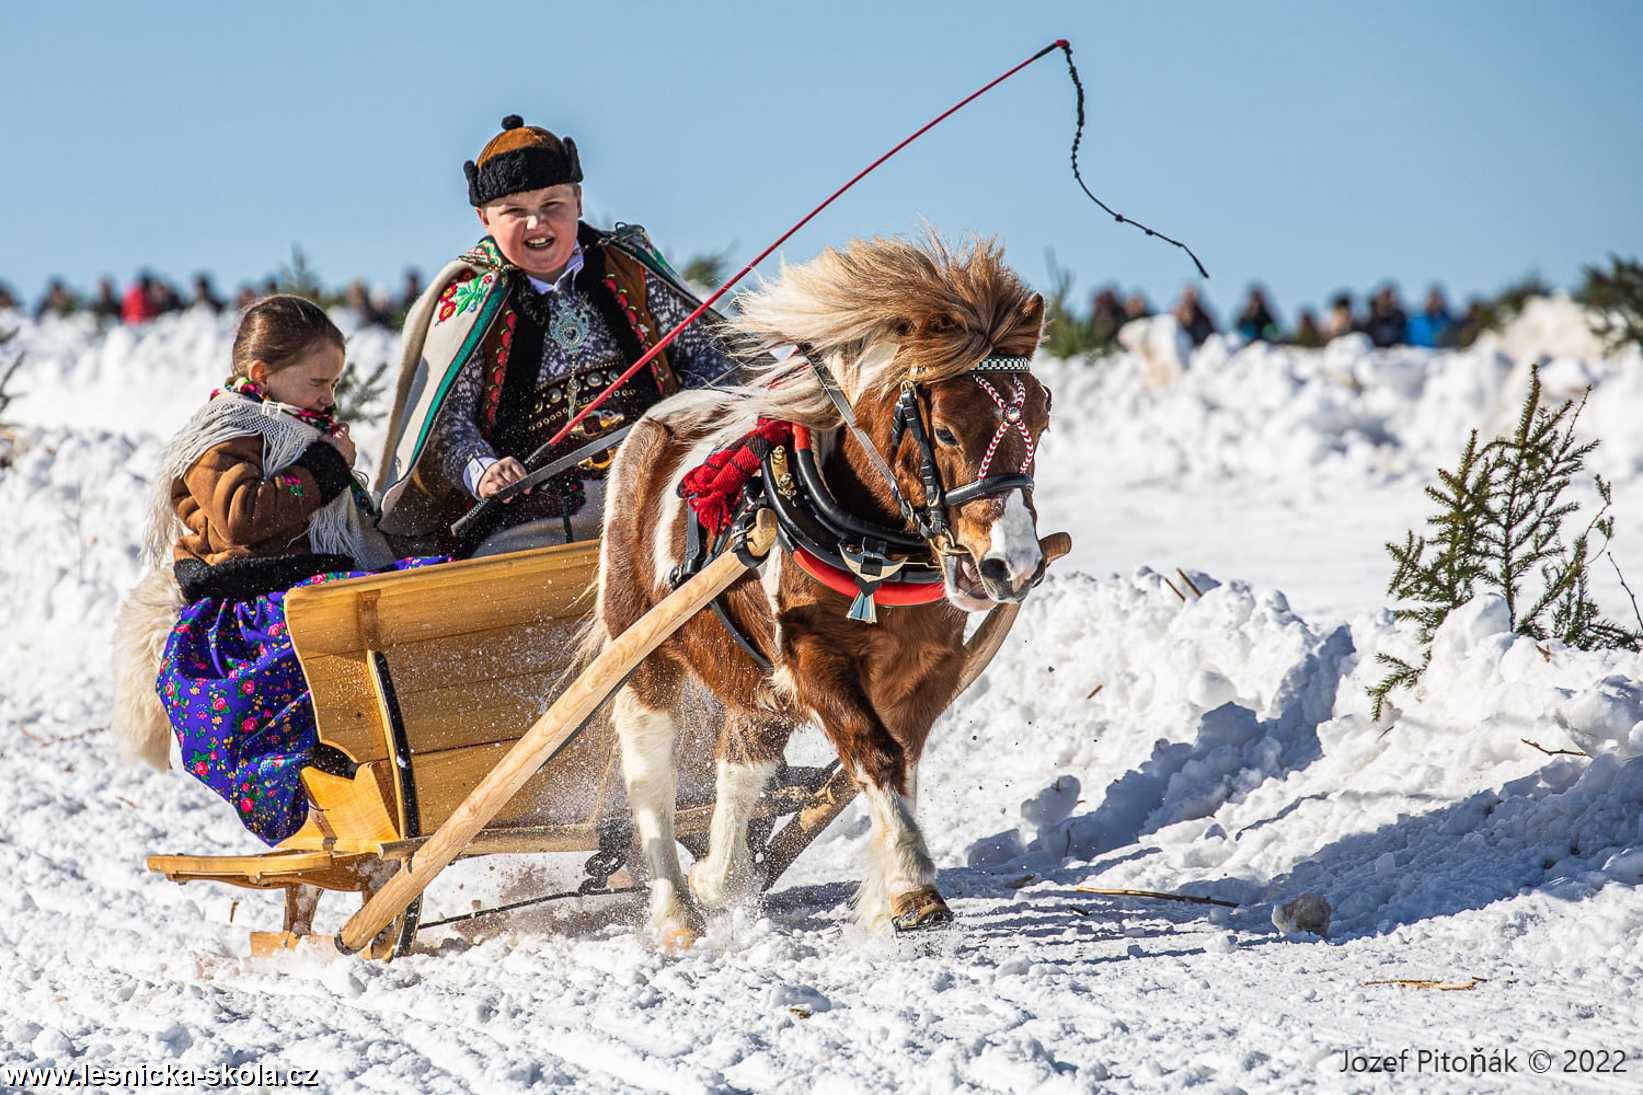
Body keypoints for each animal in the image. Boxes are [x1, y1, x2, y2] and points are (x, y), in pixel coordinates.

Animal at [594, 231, 1051, 947]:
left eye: (1044, 415)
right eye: (947, 429)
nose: (1015, 565)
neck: (872, 540)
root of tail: (654, 420)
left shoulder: (929, 664)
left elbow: (903, 757)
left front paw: (887, 893)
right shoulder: (812, 657)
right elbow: (876, 752)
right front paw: (914, 887)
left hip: (753, 679)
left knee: (742, 758)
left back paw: (721, 877)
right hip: (643, 653)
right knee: (649, 771)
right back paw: (676, 910)